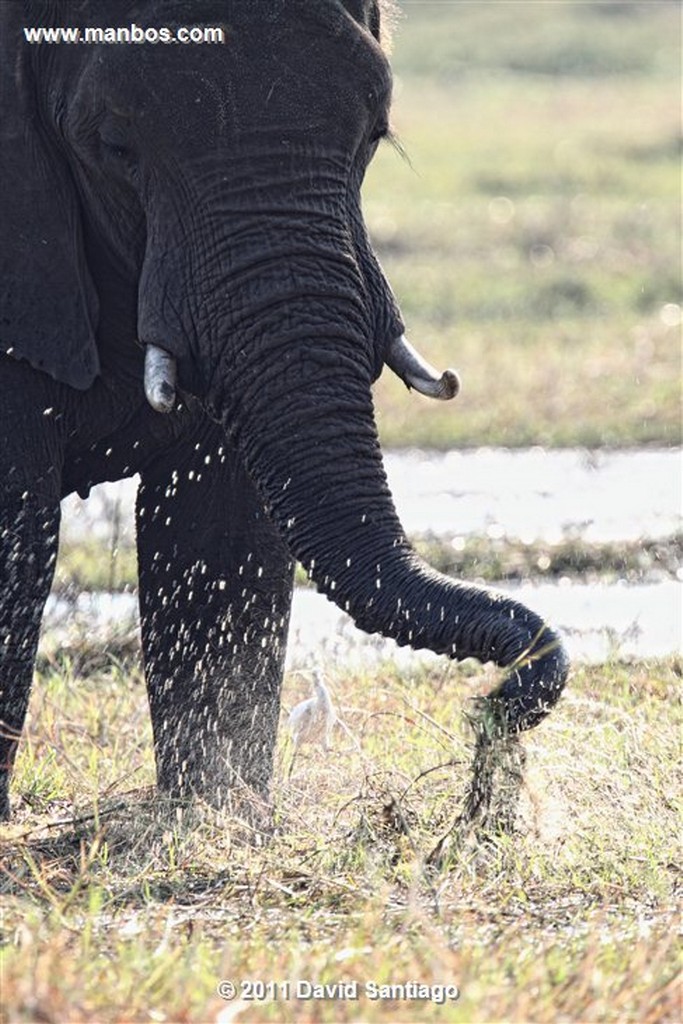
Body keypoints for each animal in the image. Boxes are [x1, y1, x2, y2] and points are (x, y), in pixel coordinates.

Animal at [0, 0, 565, 819]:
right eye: (114, 146)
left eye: (374, 134)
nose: (498, 705)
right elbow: (15, 526)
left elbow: (221, 528)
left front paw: (213, 814)